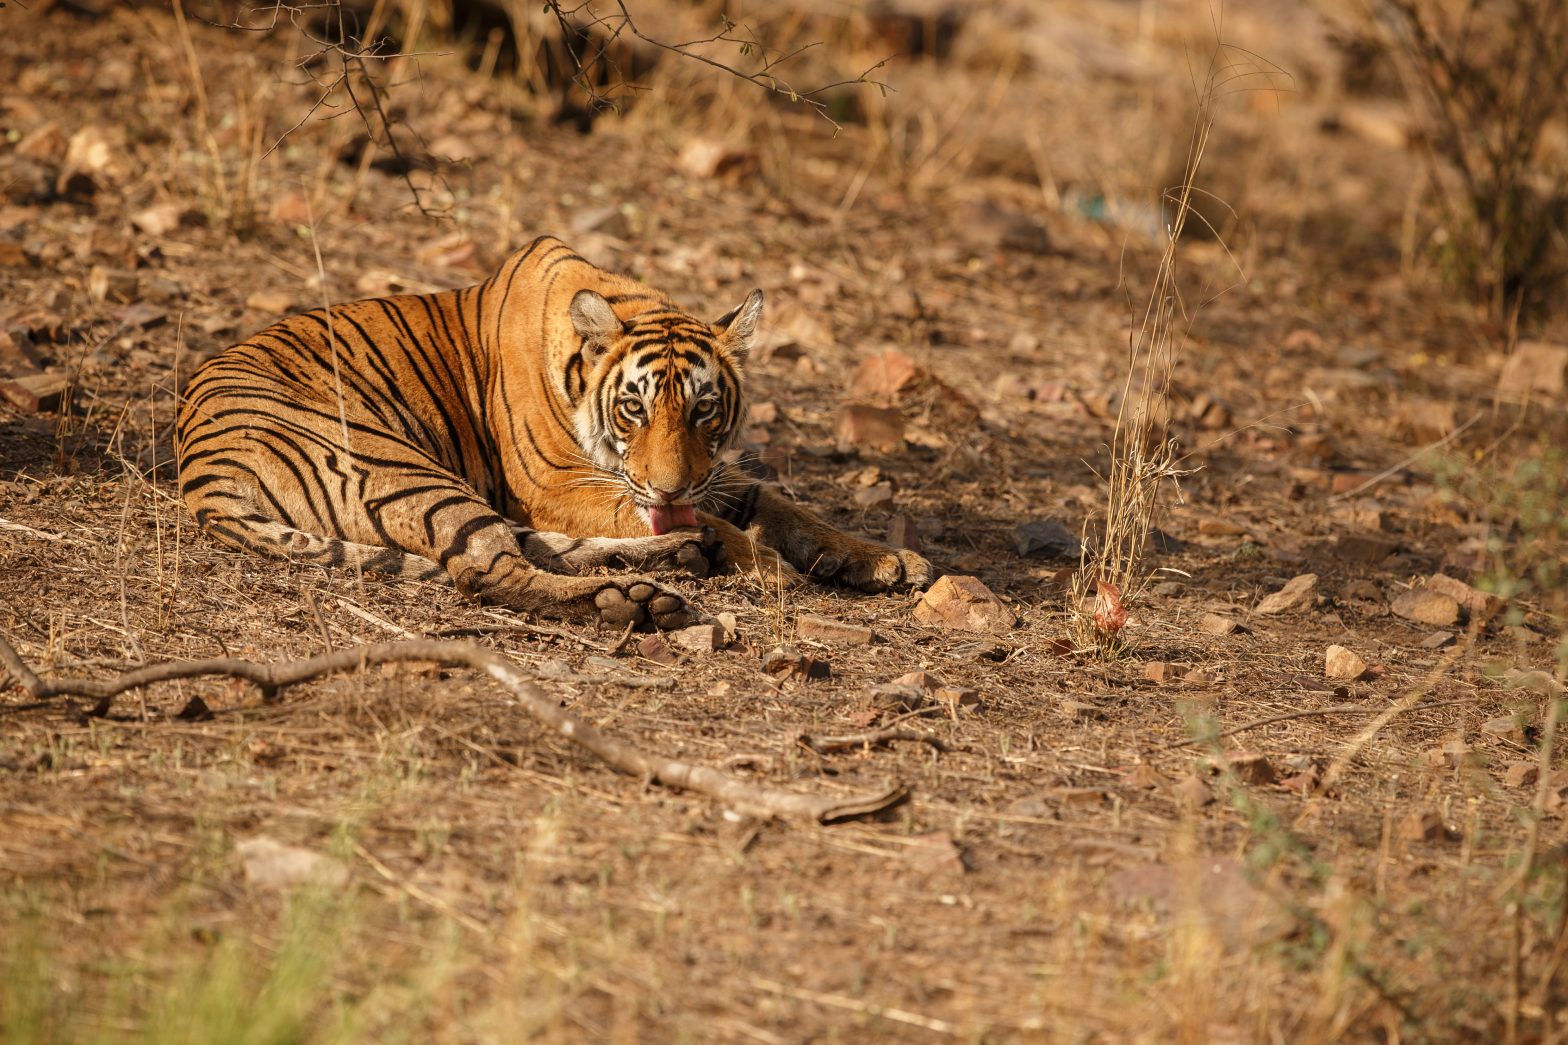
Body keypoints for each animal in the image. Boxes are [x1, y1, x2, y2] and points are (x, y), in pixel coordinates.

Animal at [175, 235, 933, 630]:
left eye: (703, 410)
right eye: (634, 409)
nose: (672, 488)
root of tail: (202, 472)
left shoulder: (707, 475)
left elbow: (784, 506)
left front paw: (882, 558)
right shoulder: (558, 484)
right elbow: (709, 520)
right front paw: (768, 567)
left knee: (534, 548)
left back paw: (676, 561)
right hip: (398, 465)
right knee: (488, 569)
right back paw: (636, 598)